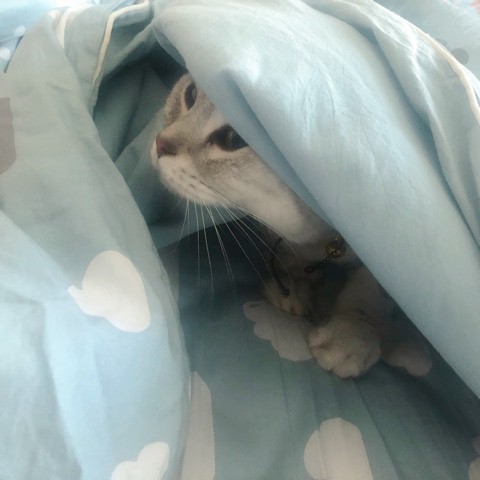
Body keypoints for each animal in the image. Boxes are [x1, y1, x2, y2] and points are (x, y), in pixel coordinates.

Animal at [152, 73, 419, 378]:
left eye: (234, 138)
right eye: (192, 94)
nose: (159, 143)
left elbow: (374, 288)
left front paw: (352, 334)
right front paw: (293, 279)